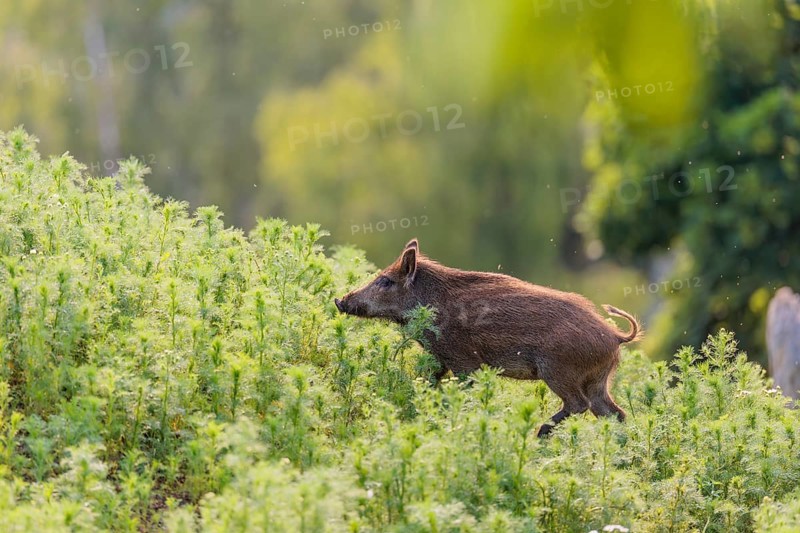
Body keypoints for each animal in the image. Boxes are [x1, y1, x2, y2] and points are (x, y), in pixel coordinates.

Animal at [334, 239, 642, 436]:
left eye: (386, 281)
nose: (340, 300)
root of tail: (615, 336)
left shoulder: (464, 361)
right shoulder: (439, 359)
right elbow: (428, 382)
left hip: (558, 371)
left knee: (580, 405)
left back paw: (539, 432)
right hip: (598, 381)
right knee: (615, 414)